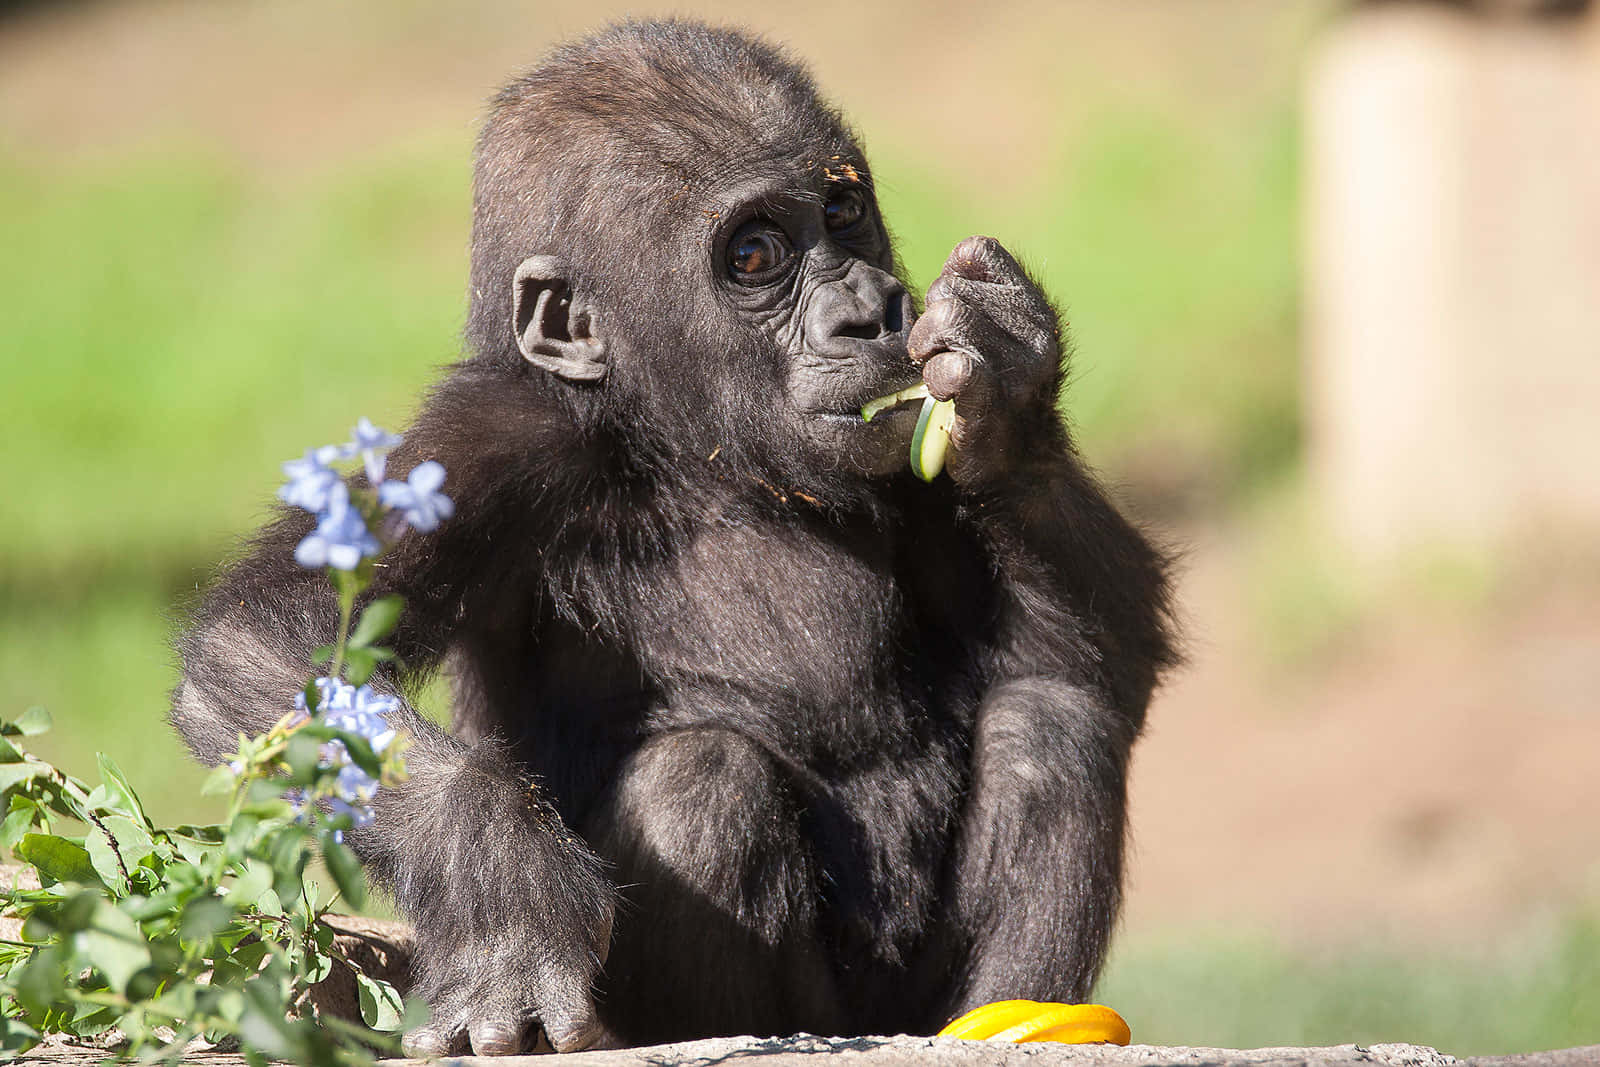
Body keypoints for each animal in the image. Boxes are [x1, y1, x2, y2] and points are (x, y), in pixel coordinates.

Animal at [172, 18, 1177, 1062]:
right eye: (755, 255)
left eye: (844, 211)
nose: (872, 309)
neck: (689, 446)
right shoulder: (492, 440)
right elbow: (272, 642)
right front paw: (500, 889)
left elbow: (1098, 653)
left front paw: (1006, 376)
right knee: (699, 784)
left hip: (905, 1013)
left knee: (1050, 730)